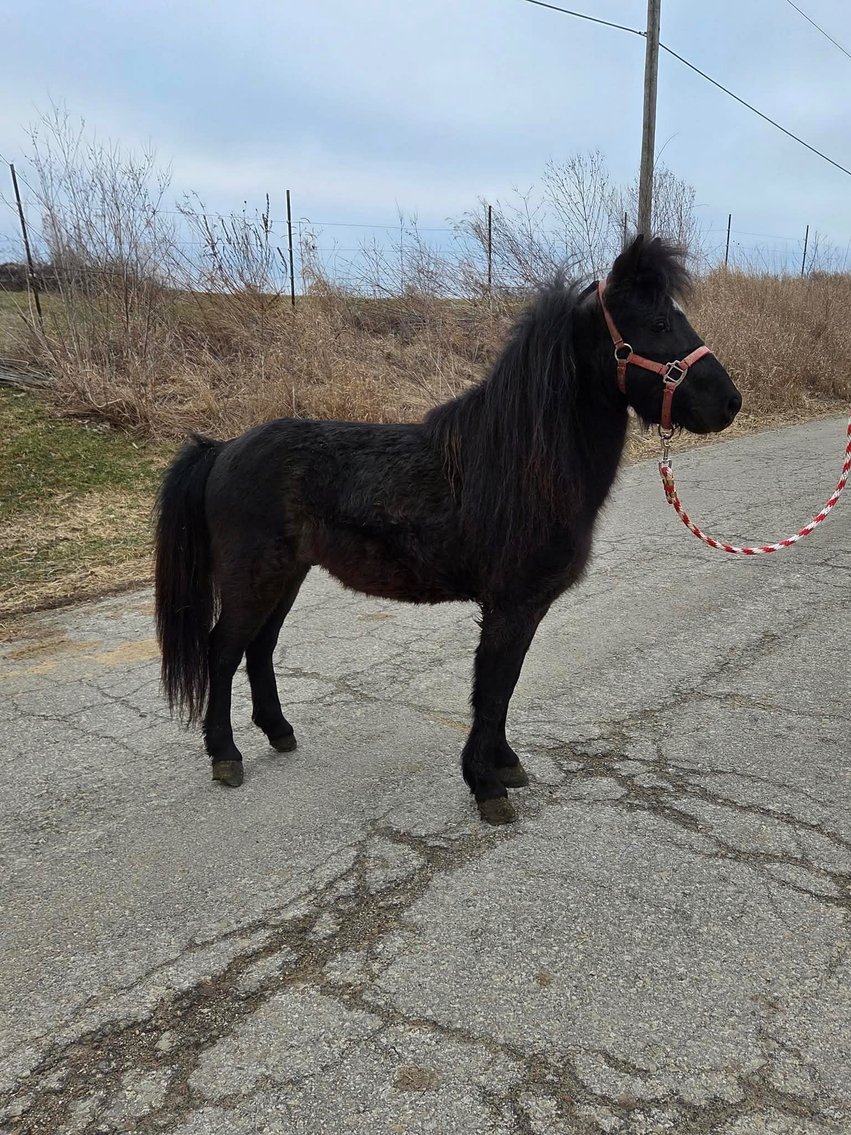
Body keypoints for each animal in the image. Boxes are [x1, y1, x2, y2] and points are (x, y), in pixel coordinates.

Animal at [154, 235, 742, 824]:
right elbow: (492, 688)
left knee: (260, 647)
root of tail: (223, 449)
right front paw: (486, 786)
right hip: (253, 578)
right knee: (222, 651)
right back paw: (225, 756)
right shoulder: (509, 605)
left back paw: (278, 732)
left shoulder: (525, 608)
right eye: (658, 323)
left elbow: (504, 687)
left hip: (286, 575)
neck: (518, 464)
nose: (730, 402)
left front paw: (504, 764)